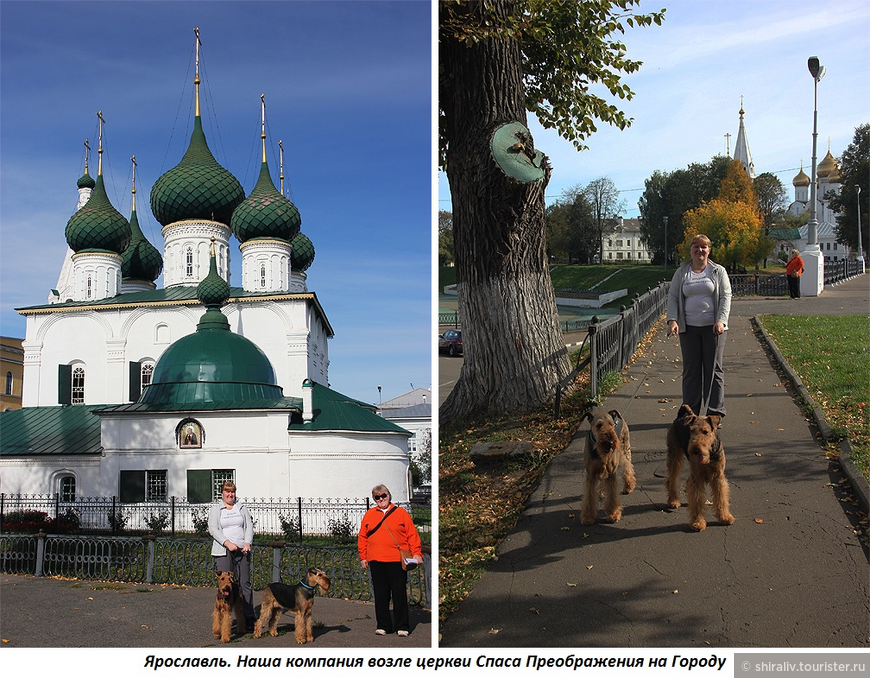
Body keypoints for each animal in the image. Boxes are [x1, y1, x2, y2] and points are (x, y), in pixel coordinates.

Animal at [668, 404, 736, 532]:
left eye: (705, 431)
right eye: (692, 431)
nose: (695, 450)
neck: (710, 455)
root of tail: (682, 415)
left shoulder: (718, 477)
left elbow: (721, 498)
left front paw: (724, 517)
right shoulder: (697, 478)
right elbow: (697, 503)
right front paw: (698, 523)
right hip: (674, 455)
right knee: (671, 479)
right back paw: (673, 501)